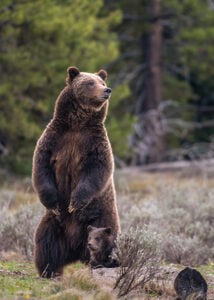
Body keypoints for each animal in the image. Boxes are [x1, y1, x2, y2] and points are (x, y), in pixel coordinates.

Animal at [32, 67, 121, 278]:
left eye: (102, 82)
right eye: (90, 83)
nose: (107, 91)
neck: (77, 124)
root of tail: (74, 249)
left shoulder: (95, 144)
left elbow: (97, 171)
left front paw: (74, 202)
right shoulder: (54, 139)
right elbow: (41, 167)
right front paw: (55, 203)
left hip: (101, 219)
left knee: (104, 241)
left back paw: (101, 263)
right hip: (54, 225)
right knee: (46, 244)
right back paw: (49, 270)